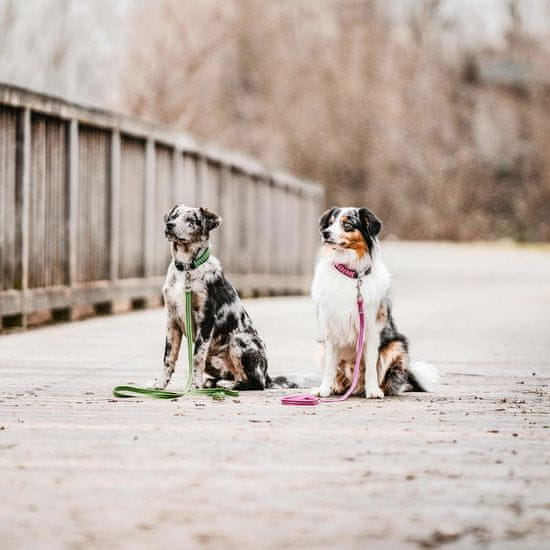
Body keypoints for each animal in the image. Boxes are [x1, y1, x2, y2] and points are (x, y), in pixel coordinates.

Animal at [312, 207, 438, 402]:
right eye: (330, 223)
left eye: (347, 224)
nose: (325, 233)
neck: (351, 275)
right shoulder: (331, 330)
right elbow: (330, 366)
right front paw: (324, 389)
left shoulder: (371, 329)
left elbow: (372, 365)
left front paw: (372, 390)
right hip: (322, 347)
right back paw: (336, 387)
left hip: (396, 345)